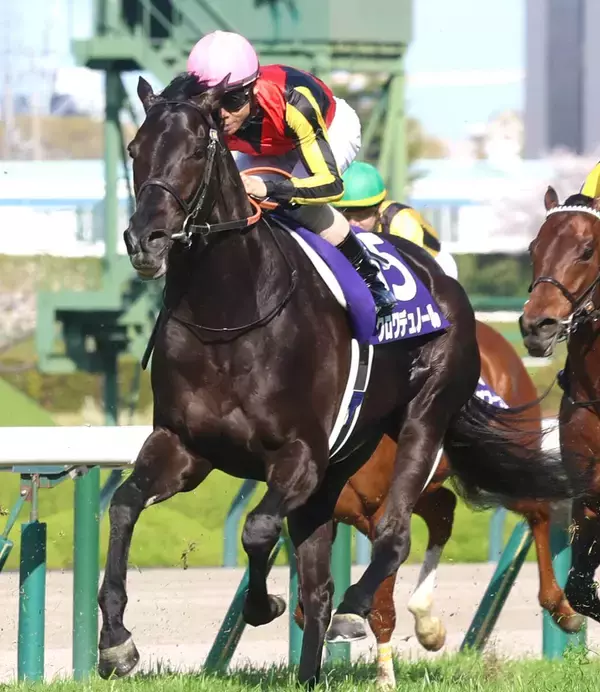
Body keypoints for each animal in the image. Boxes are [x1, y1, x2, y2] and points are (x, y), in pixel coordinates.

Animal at [294, 320, 584, 688]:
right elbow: (306, 605)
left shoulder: (380, 513)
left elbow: (380, 606)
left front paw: (385, 678)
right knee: (444, 511)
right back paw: (426, 621)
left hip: (500, 462)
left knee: (539, 511)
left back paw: (561, 607)